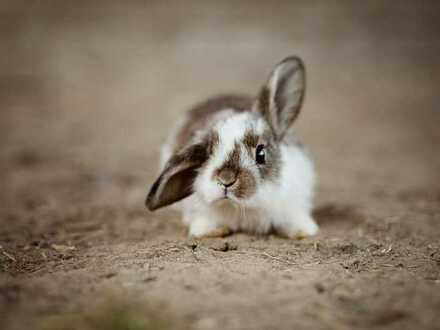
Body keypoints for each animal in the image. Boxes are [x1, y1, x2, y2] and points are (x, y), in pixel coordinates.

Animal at [146, 55, 318, 238]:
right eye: (208, 154)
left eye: (261, 154)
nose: (226, 180)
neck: (245, 207)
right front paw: (212, 231)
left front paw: (304, 231)